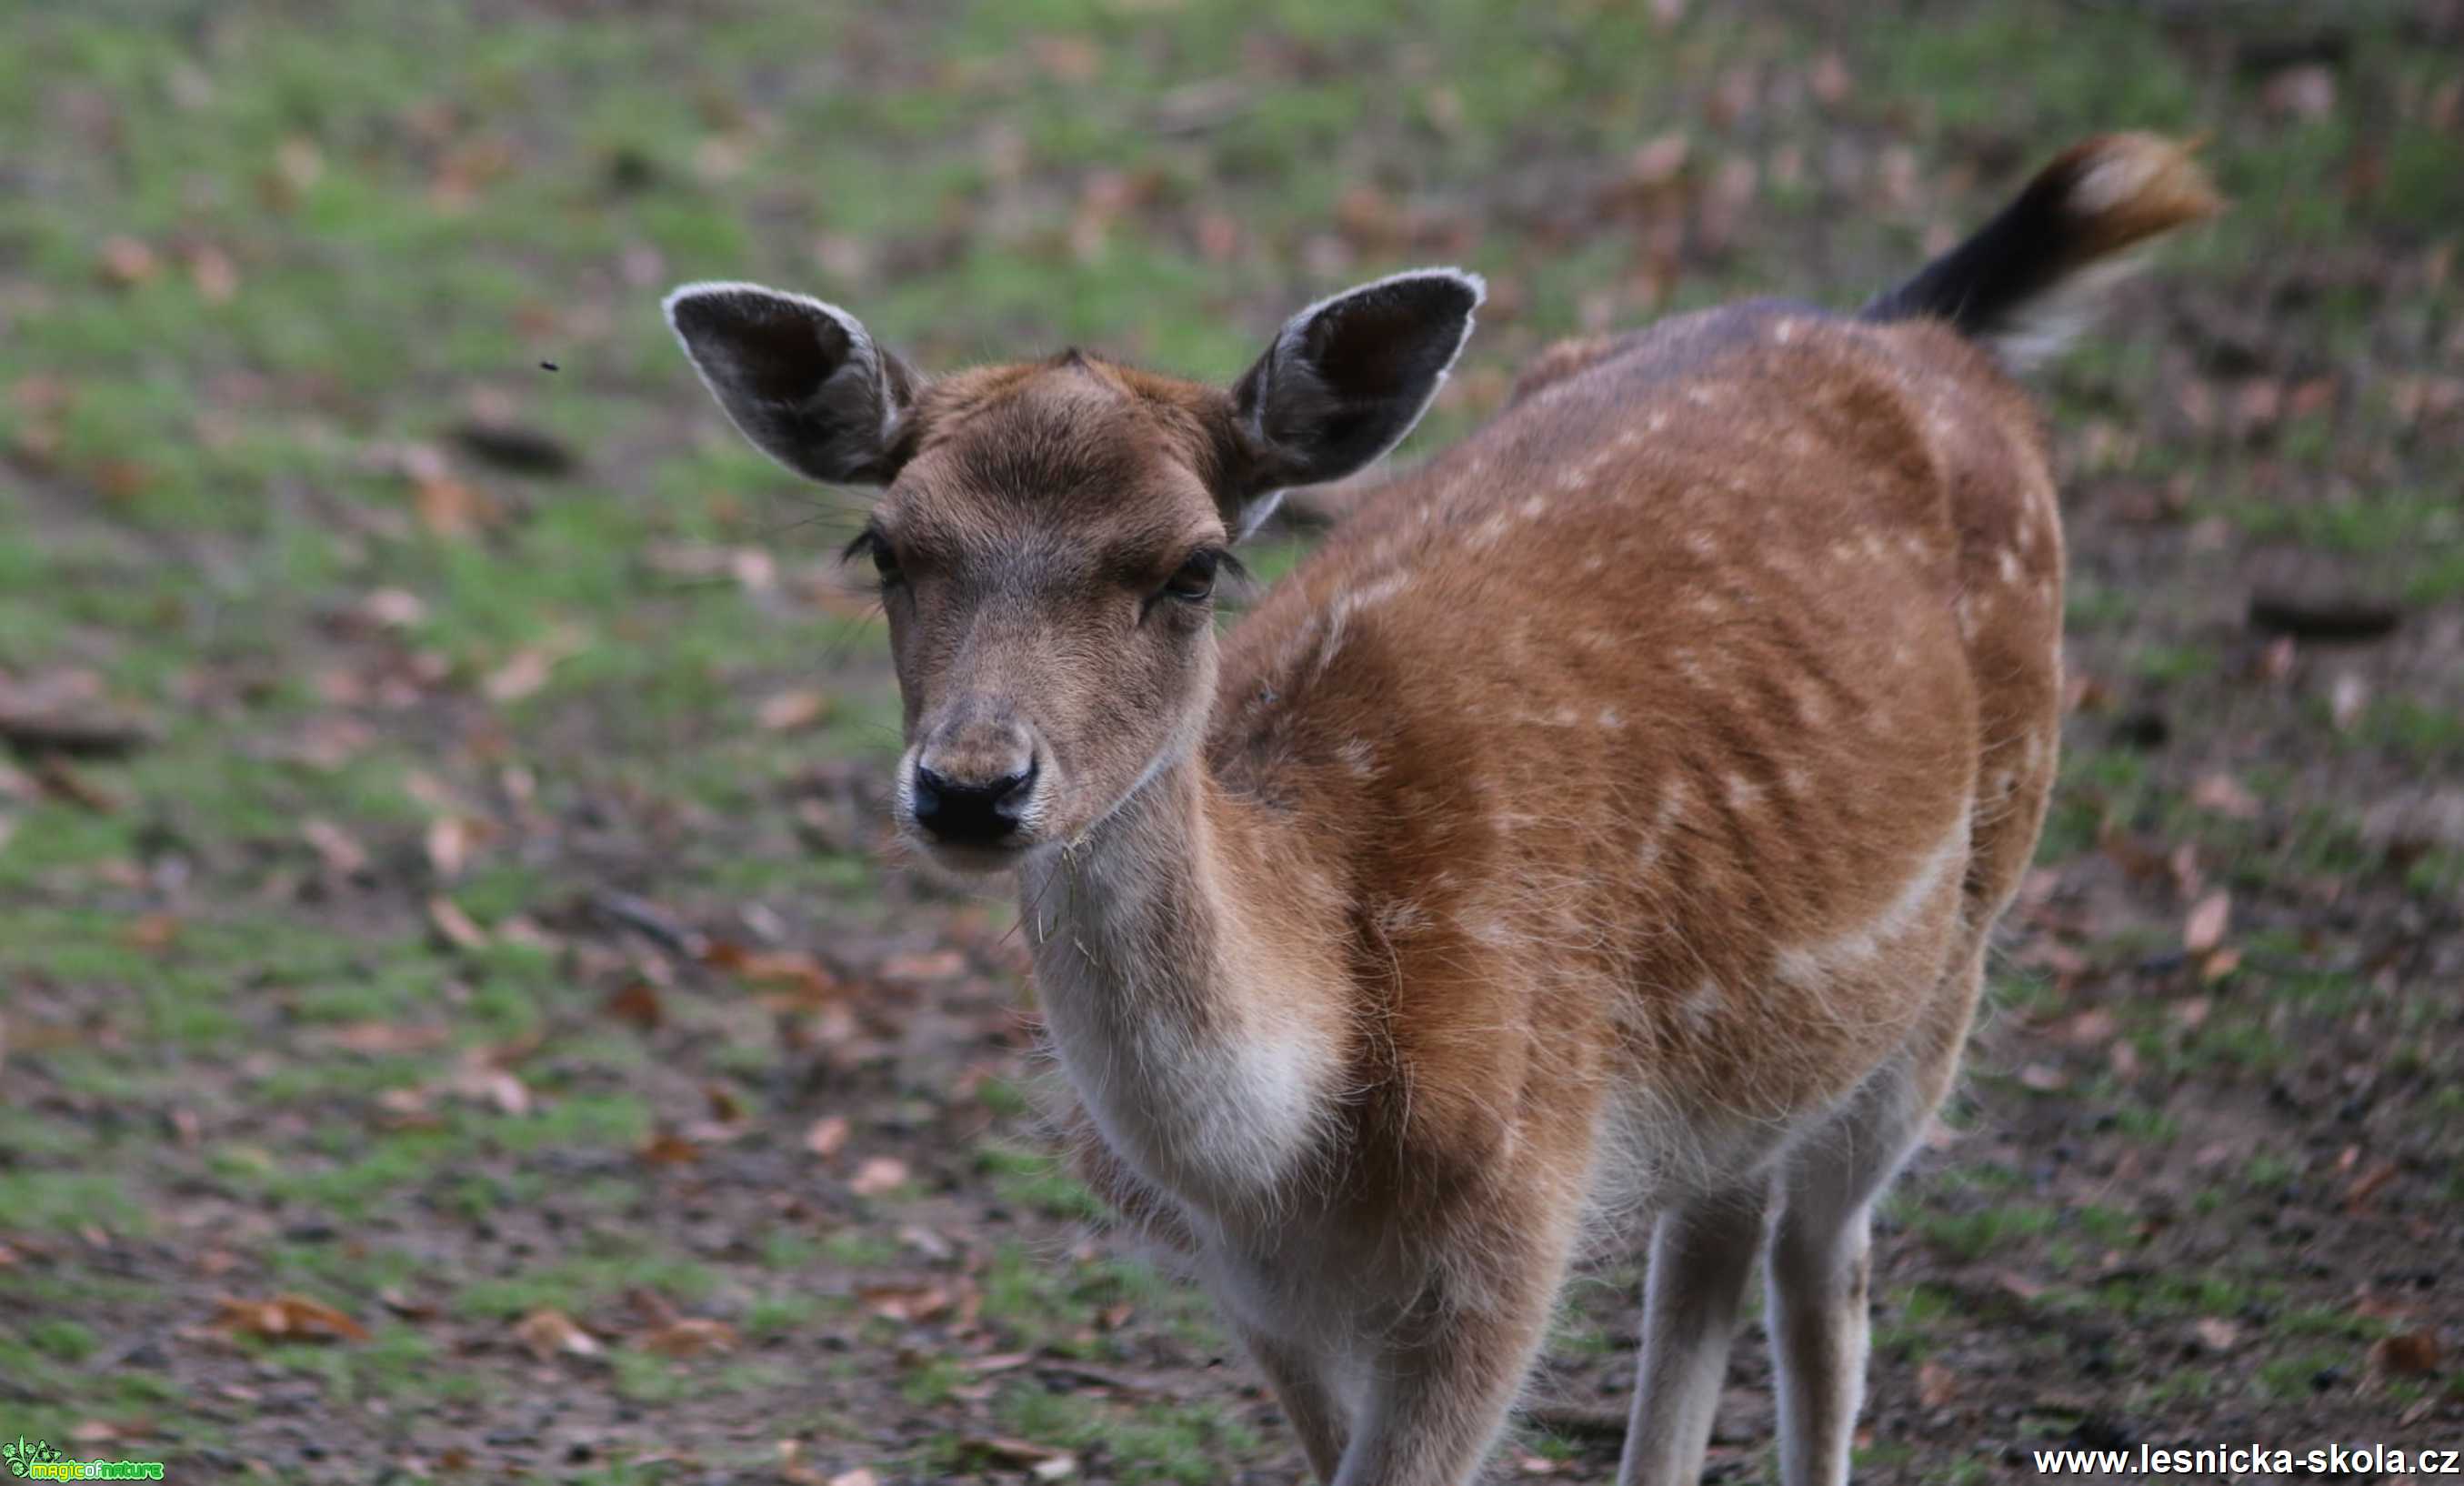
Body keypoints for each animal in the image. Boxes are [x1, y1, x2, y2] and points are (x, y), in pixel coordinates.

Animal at [665, 134, 2227, 1478]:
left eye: (1191, 566)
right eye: (884, 546)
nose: (971, 785)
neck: (1290, 1152)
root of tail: (1917, 330)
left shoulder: (1510, 1231)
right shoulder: (1257, 1295)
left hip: (1955, 941)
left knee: (1819, 1271)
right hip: (1748, 1048)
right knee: (1710, 1240)